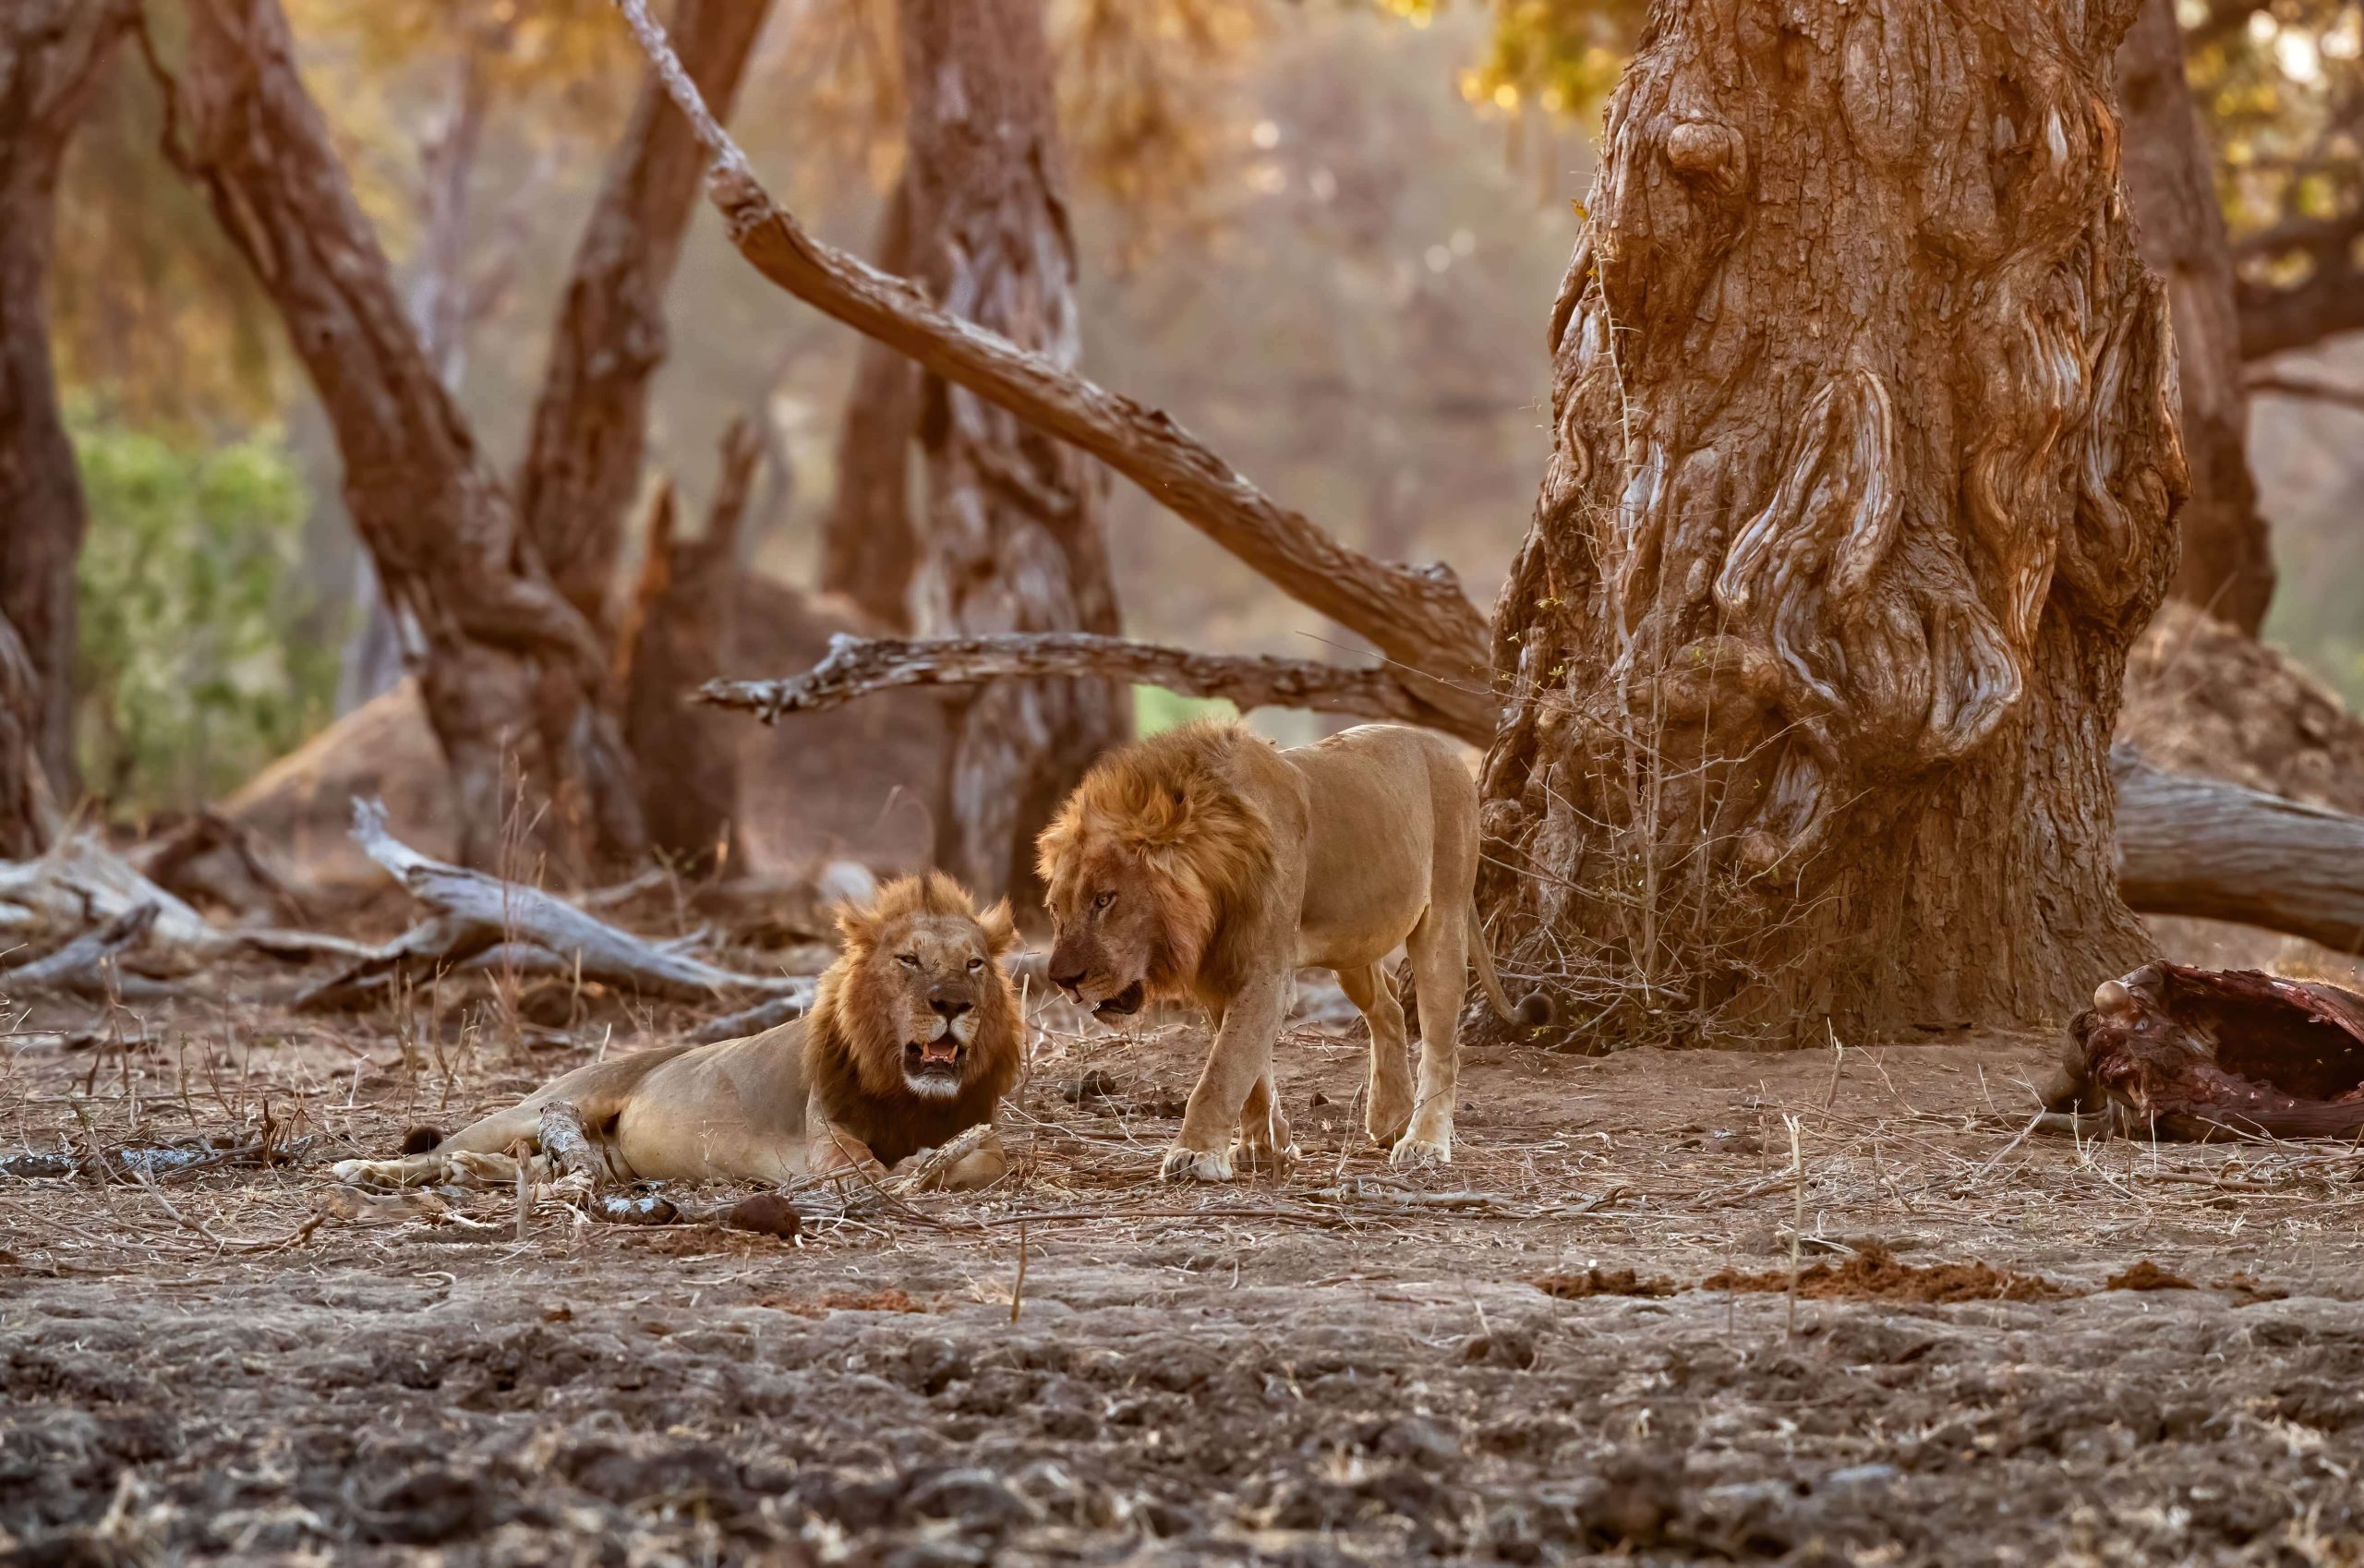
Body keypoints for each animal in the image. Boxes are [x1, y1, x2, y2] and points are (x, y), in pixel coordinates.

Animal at [331, 872, 1022, 1193]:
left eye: (973, 964)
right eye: (908, 960)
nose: (953, 1003)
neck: (907, 1092)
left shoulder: (977, 1129)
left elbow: (985, 1157)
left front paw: (929, 1162)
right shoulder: (822, 1140)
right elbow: (863, 1168)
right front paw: (906, 1169)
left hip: (603, 1161)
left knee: (533, 1167)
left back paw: (465, 1173)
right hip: (544, 1106)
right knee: (441, 1149)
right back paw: (366, 1170)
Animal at [1037, 721, 1544, 1181]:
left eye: (1105, 899)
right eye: (1056, 909)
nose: (1062, 980)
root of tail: (1439, 745)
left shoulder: (1265, 972)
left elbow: (1223, 1070)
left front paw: (1195, 1154)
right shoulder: (1221, 973)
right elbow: (1249, 1071)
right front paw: (1262, 1146)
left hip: (1443, 915)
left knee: (1441, 1043)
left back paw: (1423, 1142)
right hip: (1353, 944)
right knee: (1388, 1008)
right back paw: (1390, 1118)